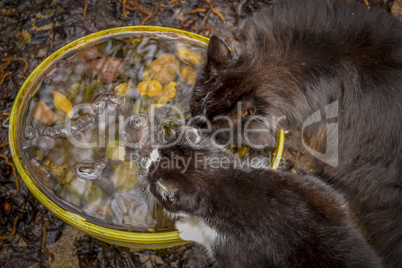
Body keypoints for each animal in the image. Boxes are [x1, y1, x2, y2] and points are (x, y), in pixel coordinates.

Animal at [147, 128, 380, 268]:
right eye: (160, 150)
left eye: (151, 174)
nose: (147, 159)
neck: (231, 187)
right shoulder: (316, 192)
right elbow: (338, 203)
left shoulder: (235, 250)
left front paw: (186, 227)